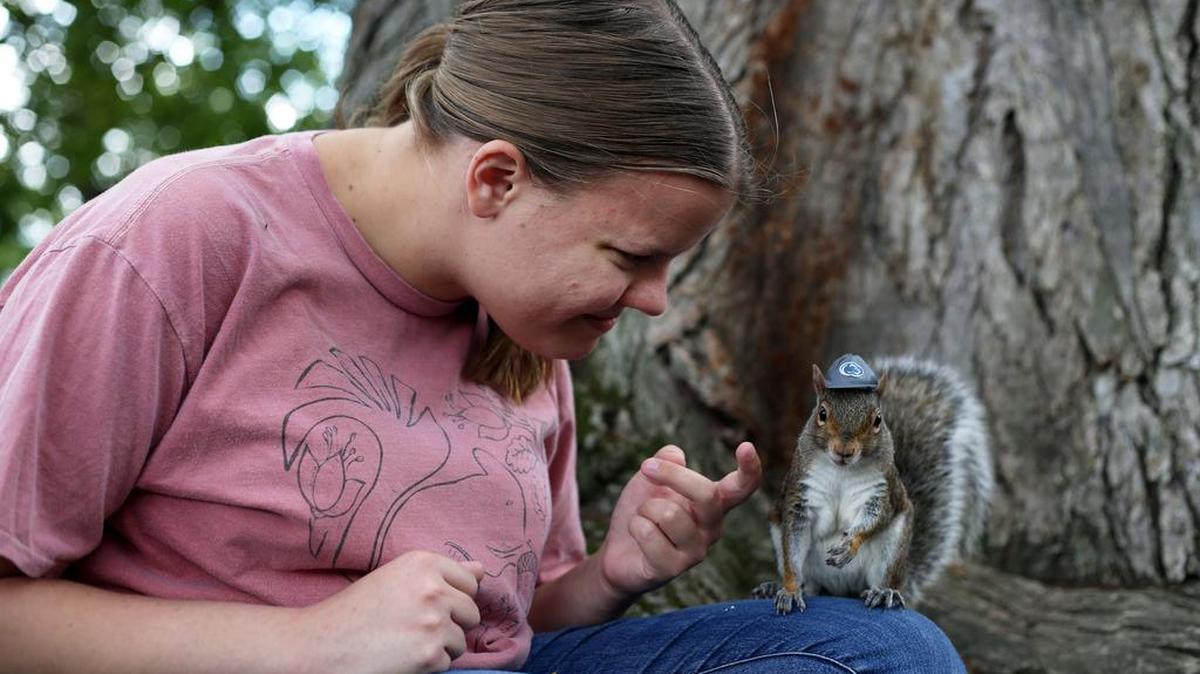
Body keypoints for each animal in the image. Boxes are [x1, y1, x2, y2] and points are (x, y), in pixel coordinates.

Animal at [754, 354, 993, 614]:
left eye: (878, 419)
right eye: (822, 413)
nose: (844, 451)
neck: (841, 471)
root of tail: (840, 591)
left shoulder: (882, 492)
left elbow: (875, 518)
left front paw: (850, 544)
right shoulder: (800, 495)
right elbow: (793, 547)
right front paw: (789, 590)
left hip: (892, 548)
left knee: (883, 579)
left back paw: (884, 592)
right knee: (811, 584)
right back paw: (777, 588)